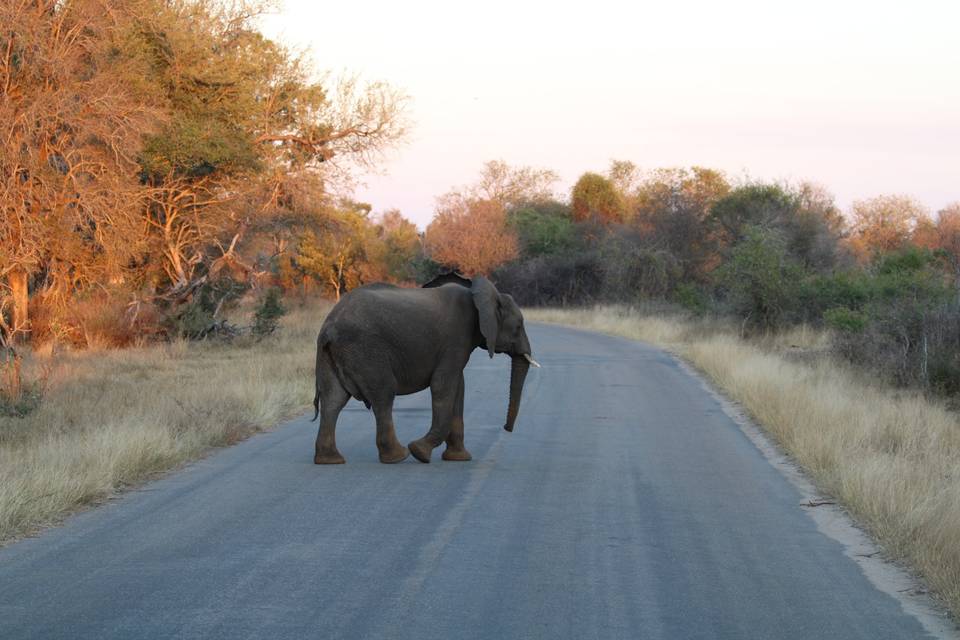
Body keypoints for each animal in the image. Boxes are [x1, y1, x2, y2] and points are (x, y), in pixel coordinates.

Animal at [316, 272, 540, 462]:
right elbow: (443, 385)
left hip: (337, 353)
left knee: (333, 400)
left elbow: (459, 388)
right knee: (383, 394)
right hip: (366, 350)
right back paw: (399, 456)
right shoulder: (456, 338)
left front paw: (458, 458)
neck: (480, 293)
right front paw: (420, 452)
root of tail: (328, 327)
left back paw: (330, 460)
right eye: (518, 326)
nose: (506, 428)